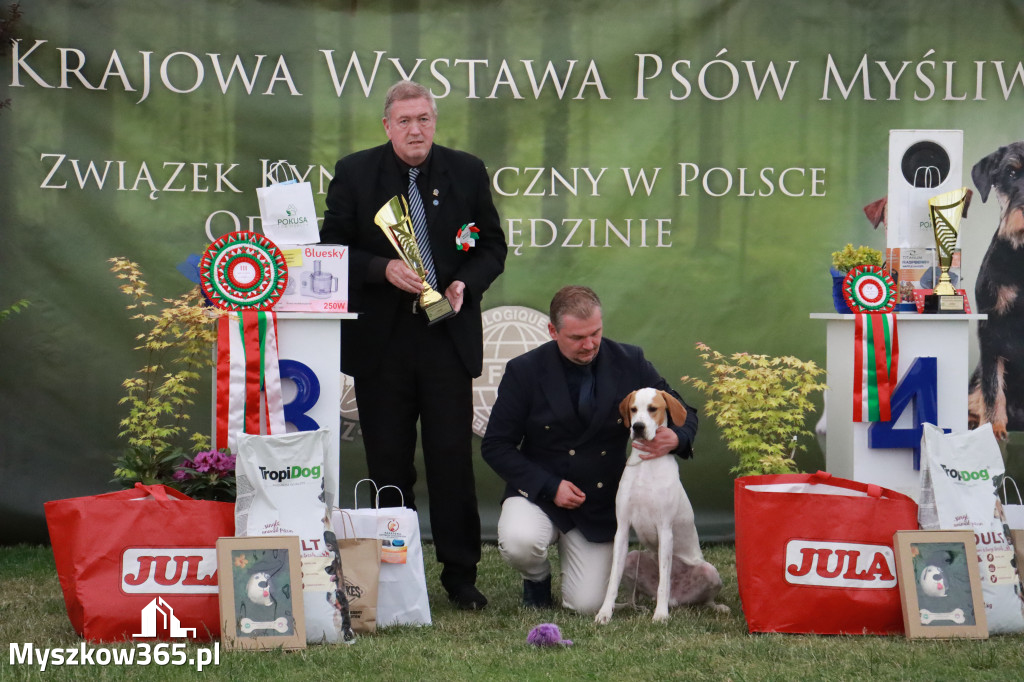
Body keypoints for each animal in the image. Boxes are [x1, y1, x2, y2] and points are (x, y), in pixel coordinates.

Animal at [593, 387, 729, 622]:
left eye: (653, 408)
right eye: (633, 409)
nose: (638, 427)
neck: (645, 465)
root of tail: (677, 600)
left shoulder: (665, 530)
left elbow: (664, 581)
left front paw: (661, 615)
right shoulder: (622, 529)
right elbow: (612, 580)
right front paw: (604, 612)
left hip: (709, 572)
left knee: (705, 600)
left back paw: (714, 607)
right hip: (632, 558)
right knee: (634, 597)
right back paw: (630, 607)